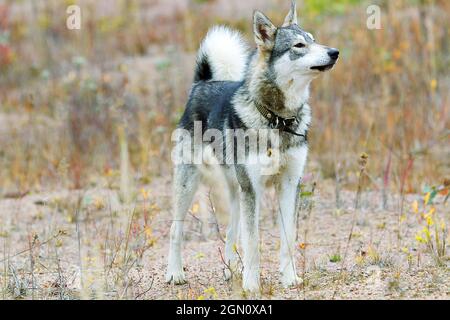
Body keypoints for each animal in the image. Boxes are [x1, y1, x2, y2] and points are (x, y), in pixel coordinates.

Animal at [167, 0, 340, 292]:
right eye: (298, 46)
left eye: (314, 40)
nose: (334, 52)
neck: (277, 120)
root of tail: (202, 82)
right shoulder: (254, 189)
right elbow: (253, 241)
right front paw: (251, 285)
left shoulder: (289, 184)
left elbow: (287, 238)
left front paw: (289, 278)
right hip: (190, 184)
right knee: (175, 230)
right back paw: (175, 272)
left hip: (237, 188)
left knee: (230, 229)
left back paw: (231, 268)